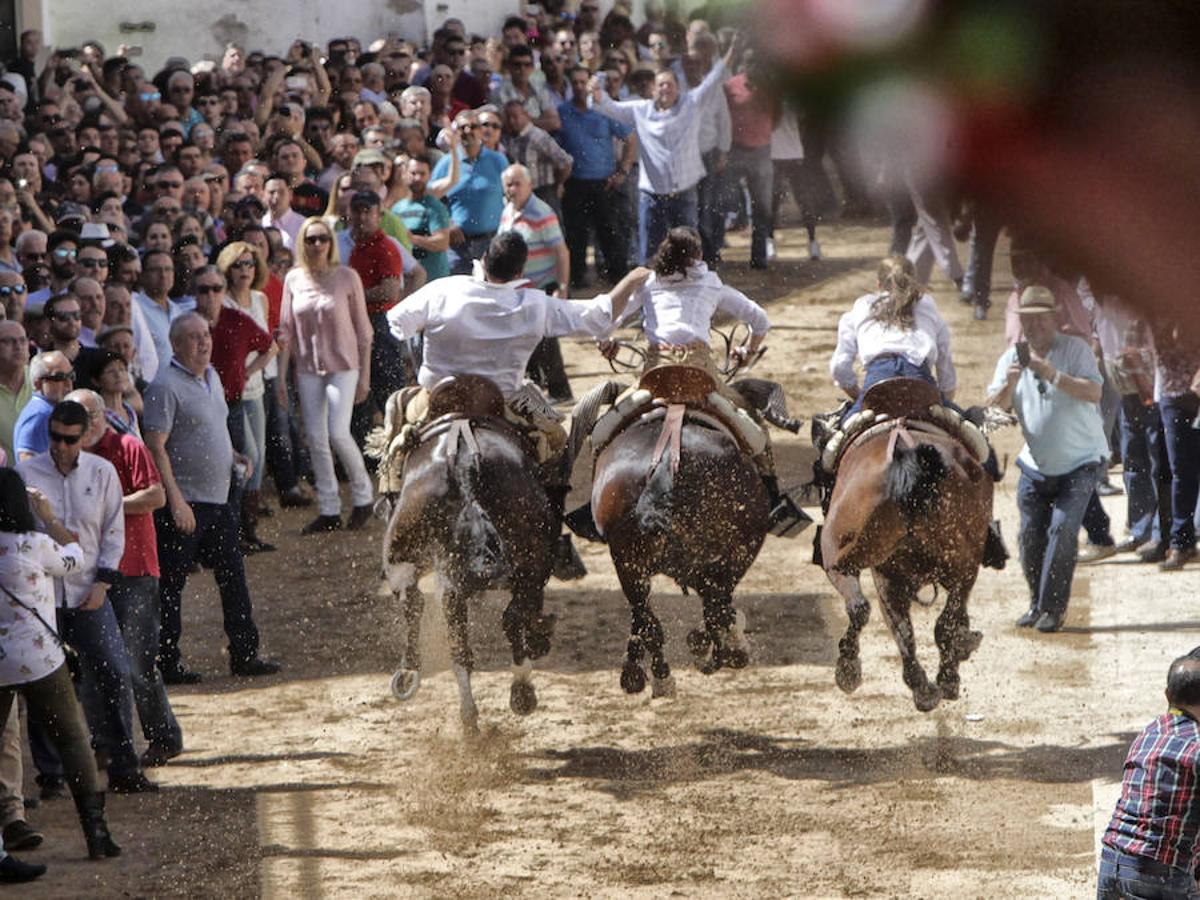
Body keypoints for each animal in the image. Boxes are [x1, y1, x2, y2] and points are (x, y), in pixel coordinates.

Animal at [379, 374, 556, 734]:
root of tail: (463, 460)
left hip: (404, 555)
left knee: (429, 614)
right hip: (528, 559)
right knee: (506, 617)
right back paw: (518, 691)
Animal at [816, 379, 993, 710]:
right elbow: (949, 622)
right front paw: (959, 656)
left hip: (850, 556)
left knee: (863, 609)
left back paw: (856, 672)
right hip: (953, 567)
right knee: (938, 624)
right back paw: (941, 681)